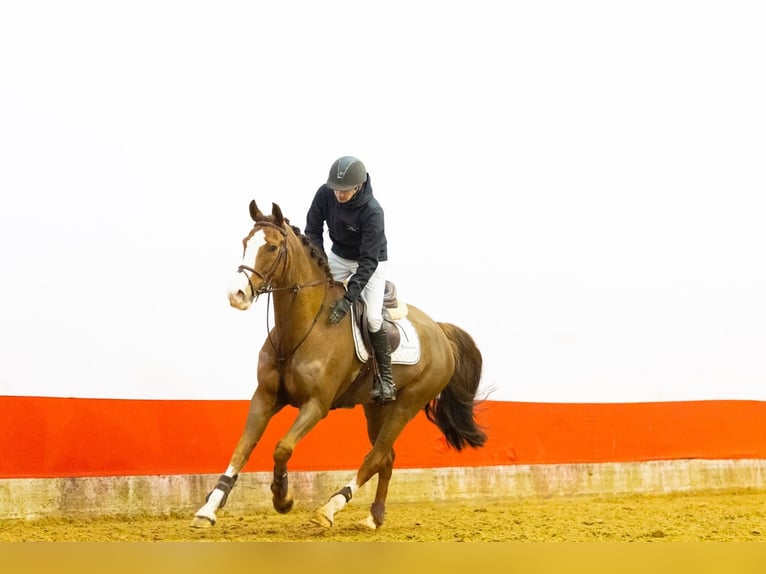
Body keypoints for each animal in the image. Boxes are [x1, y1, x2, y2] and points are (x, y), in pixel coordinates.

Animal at [191, 200, 487, 530]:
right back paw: (373, 517)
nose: (237, 294)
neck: (300, 330)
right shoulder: (265, 397)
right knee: (386, 457)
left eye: (271, 247)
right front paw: (208, 509)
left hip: (406, 405)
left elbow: (283, 447)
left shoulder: (316, 404)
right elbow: (242, 448)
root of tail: (440, 331)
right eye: (245, 242)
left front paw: (283, 498)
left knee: (375, 457)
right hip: (376, 407)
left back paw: (330, 507)